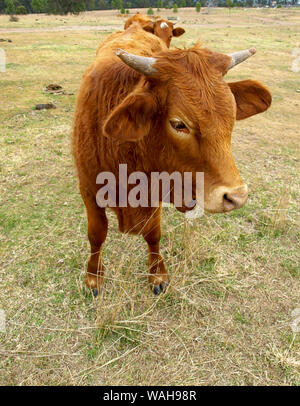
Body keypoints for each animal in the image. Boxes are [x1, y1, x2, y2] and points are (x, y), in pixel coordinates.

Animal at [73, 24, 272, 298]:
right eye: (179, 124)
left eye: (232, 115)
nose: (236, 197)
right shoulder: (88, 190)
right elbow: (96, 234)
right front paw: (93, 277)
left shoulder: (156, 190)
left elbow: (153, 233)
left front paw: (157, 274)